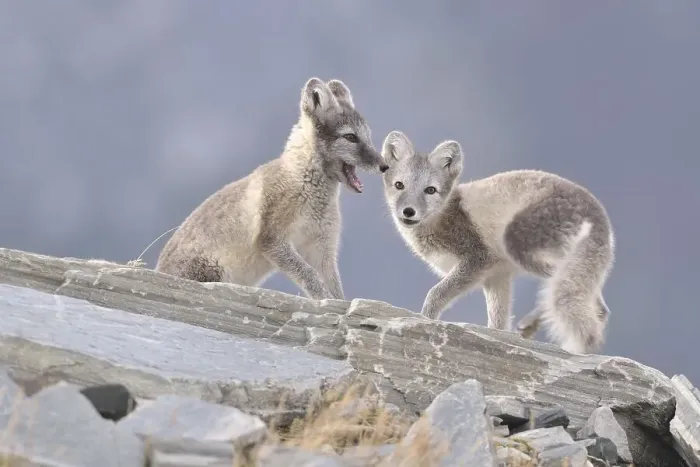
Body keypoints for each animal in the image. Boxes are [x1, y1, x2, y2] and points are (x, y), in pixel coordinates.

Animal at [155, 77, 388, 300]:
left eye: (368, 136)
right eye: (350, 137)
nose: (385, 166)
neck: (304, 185)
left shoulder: (322, 247)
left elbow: (335, 287)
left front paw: (337, 302)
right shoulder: (272, 240)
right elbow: (309, 275)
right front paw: (324, 298)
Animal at [379, 130, 615, 354]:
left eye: (430, 190)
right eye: (399, 185)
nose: (408, 212)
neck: (442, 215)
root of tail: (597, 212)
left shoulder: (477, 259)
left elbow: (435, 293)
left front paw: (425, 320)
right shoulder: (497, 276)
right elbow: (498, 321)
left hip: (518, 244)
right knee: (599, 308)